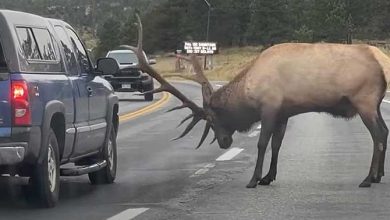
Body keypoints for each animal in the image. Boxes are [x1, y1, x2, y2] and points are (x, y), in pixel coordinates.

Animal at [121, 14, 390, 188]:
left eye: (212, 119)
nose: (224, 142)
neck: (247, 91)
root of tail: (382, 59)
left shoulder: (269, 107)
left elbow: (262, 144)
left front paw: (253, 179)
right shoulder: (284, 112)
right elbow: (277, 145)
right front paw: (268, 177)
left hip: (364, 101)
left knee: (377, 135)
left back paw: (367, 179)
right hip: (375, 103)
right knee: (385, 131)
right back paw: (378, 176)